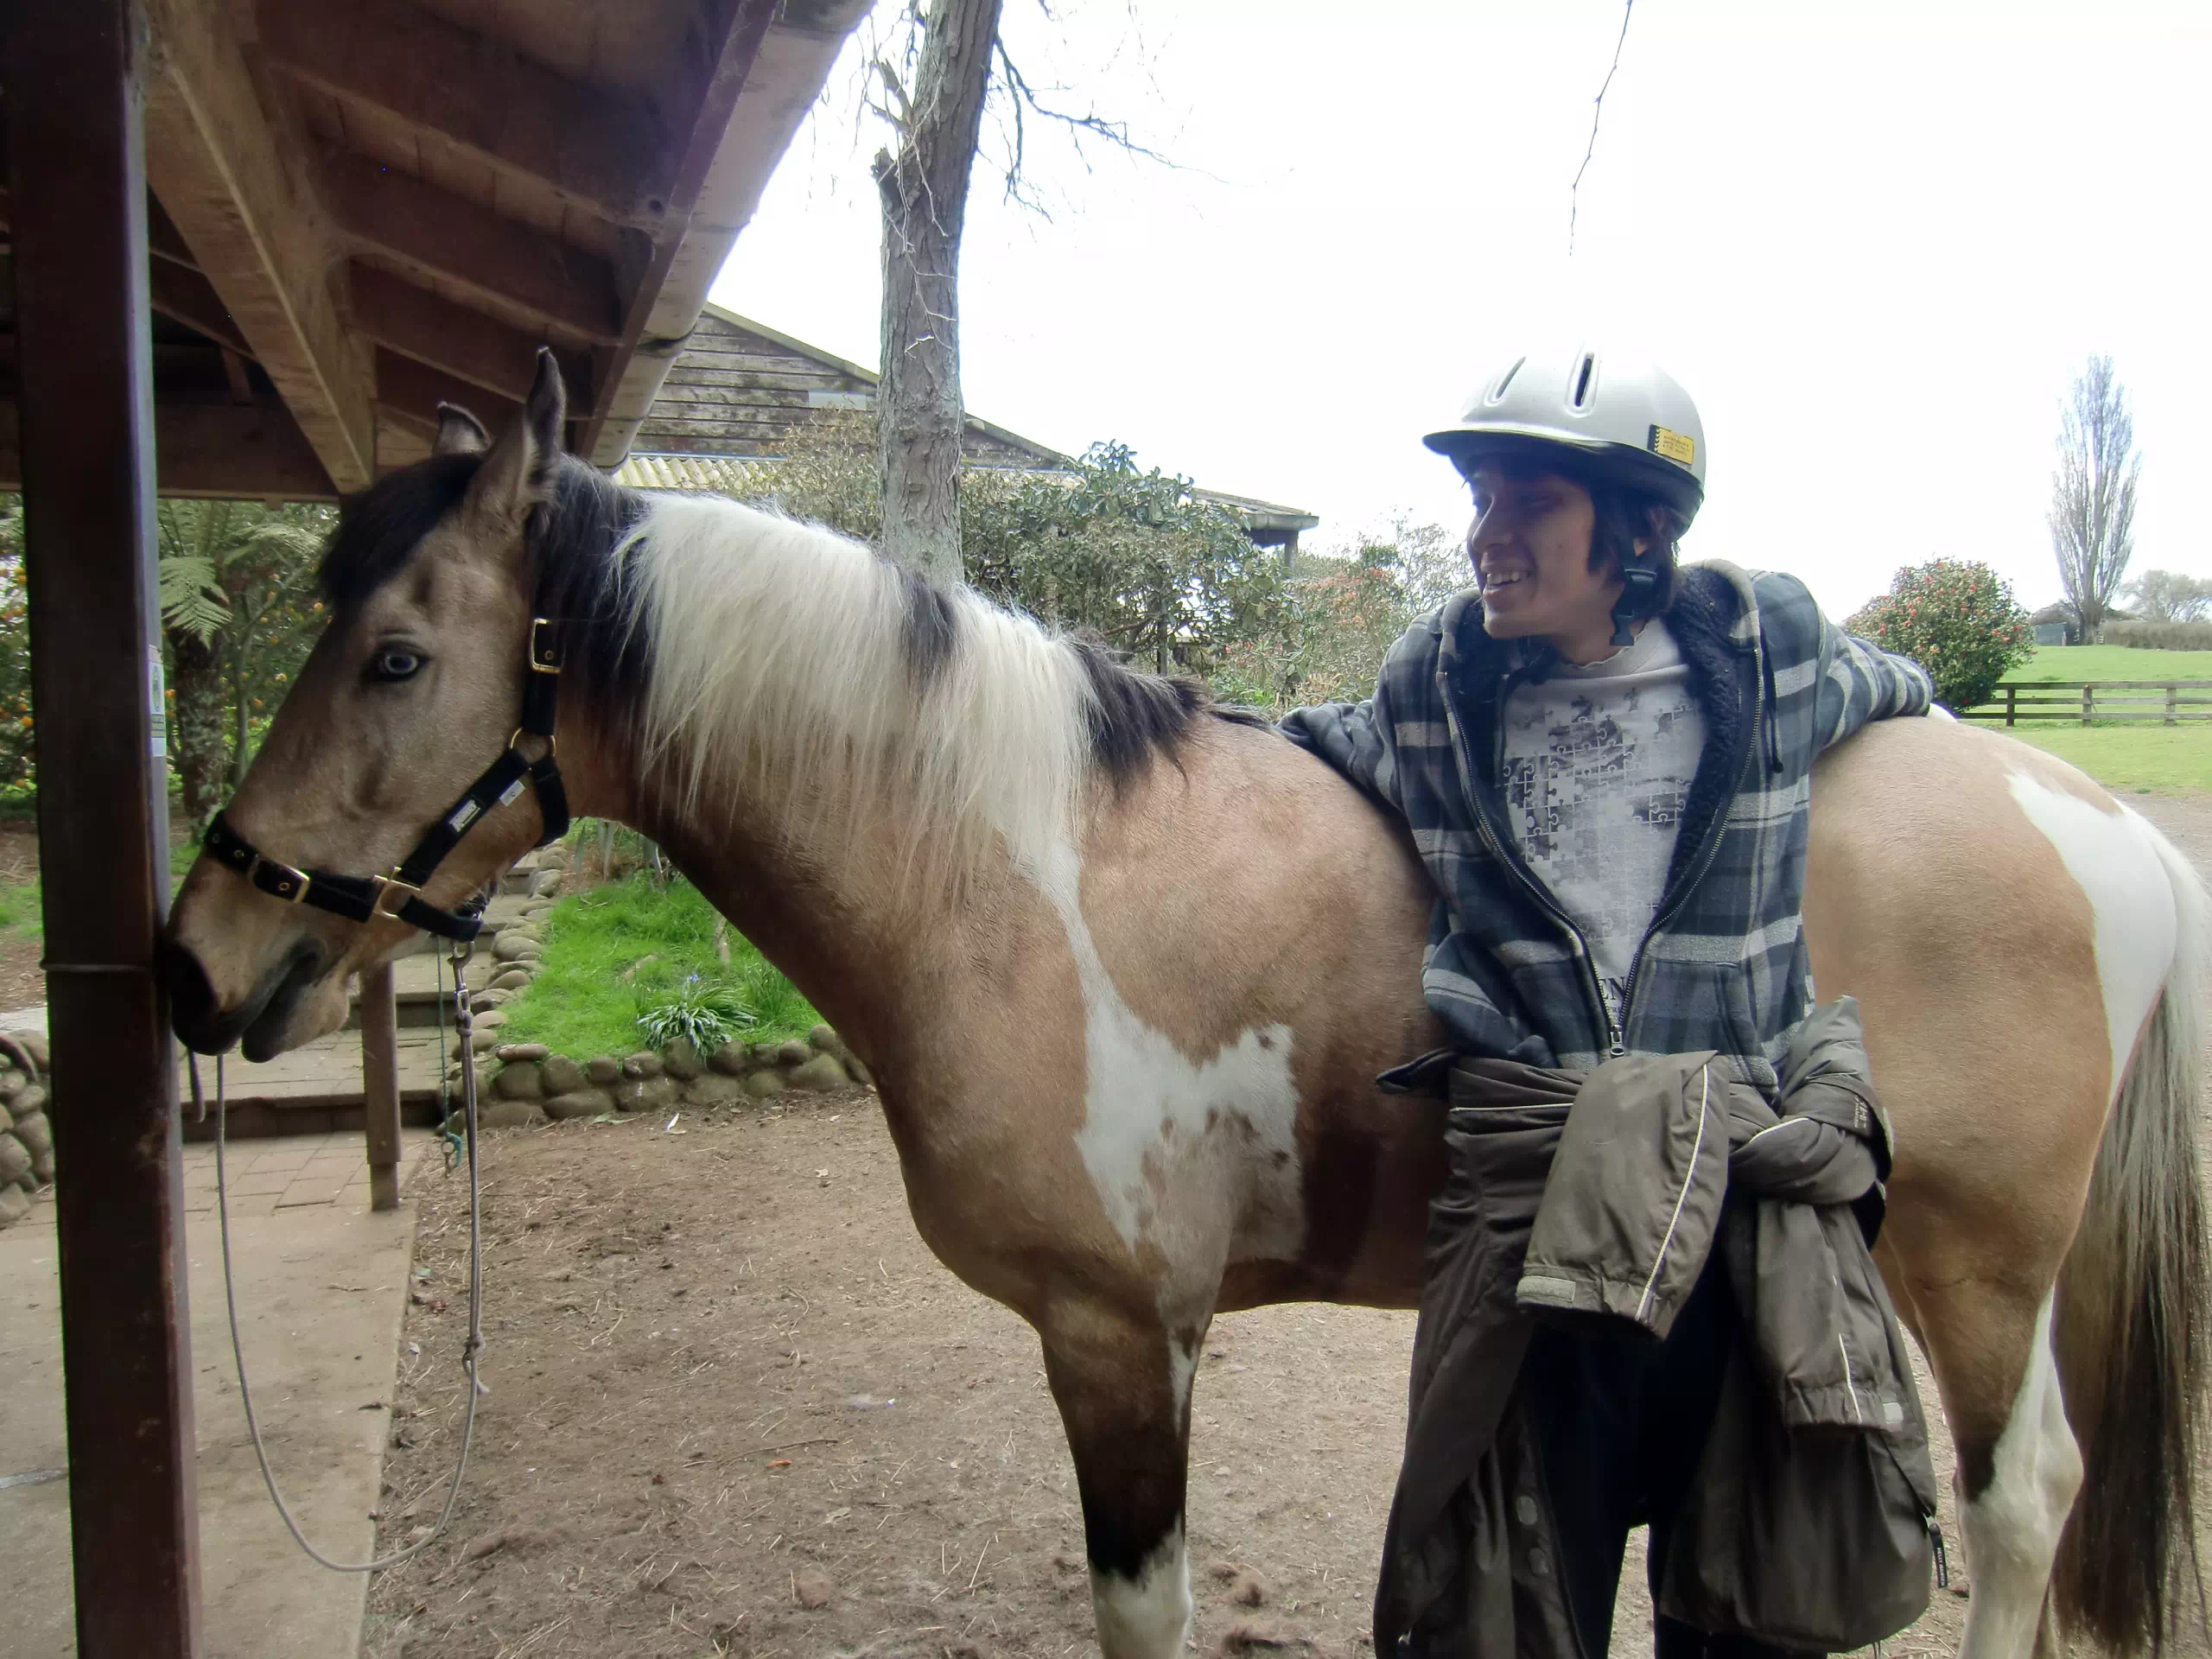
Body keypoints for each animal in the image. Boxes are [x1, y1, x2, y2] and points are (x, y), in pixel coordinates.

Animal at [162, 358, 2208, 1659]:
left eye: (397, 656)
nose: (194, 959)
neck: (1013, 873)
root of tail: (2105, 827)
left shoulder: (1115, 1340)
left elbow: (1136, 1607)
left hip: (1971, 1259)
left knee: (2018, 1499)